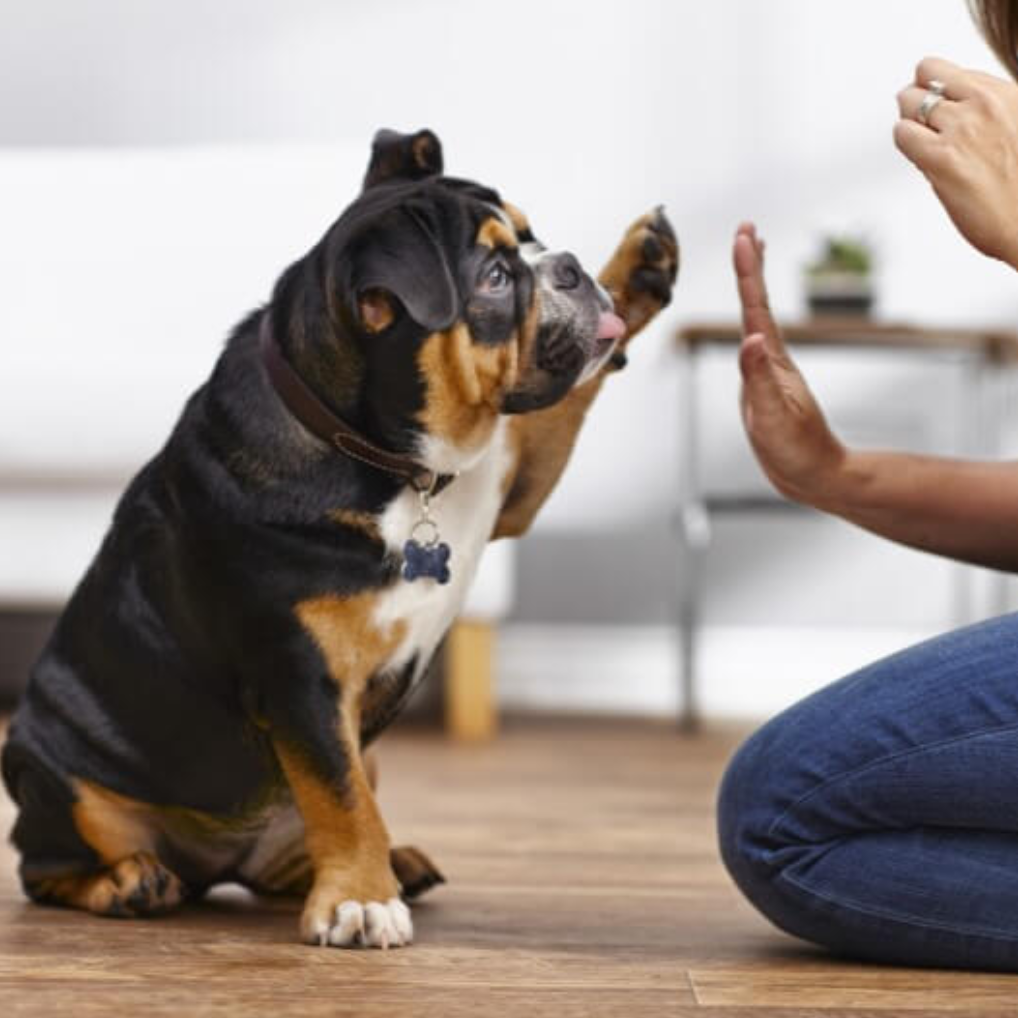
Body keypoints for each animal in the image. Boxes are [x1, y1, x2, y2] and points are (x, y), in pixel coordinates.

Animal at [5, 127, 684, 944]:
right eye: (494, 278)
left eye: (532, 238)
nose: (571, 267)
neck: (387, 455)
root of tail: (213, 866)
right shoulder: (302, 676)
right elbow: (339, 795)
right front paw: (358, 899)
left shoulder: (511, 483)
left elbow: (565, 406)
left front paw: (642, 263)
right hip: (51, 773)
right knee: (44, 864)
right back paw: (127, 882)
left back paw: (388, 864)